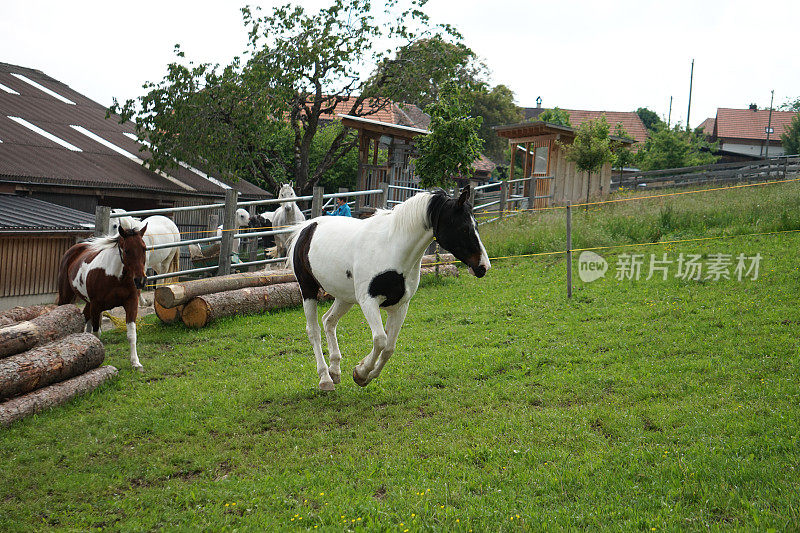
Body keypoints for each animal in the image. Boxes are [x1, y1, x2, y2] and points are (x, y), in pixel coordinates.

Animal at [58, 222, 150, 368]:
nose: (140, 280)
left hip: (88, 303)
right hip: (66, 296)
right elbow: (97, 333)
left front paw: (135, 363)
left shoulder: (131, 303)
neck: (114, 276)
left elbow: (131, 334)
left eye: (144, 249)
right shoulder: (96, 306)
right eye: (127, 250)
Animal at [288, 185, 488, 388]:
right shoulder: (368, 302)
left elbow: (389, 347)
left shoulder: (400, 306)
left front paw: (364, 374)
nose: (483, 267)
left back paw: (335, 371)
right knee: (314, 331)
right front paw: (361, 372)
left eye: (476, 225)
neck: (392, 248)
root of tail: (306, 228)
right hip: (308, 290)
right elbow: (380, 340)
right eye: (464, 228)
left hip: (345, 297)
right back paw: (325, 378)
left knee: (329, 320)